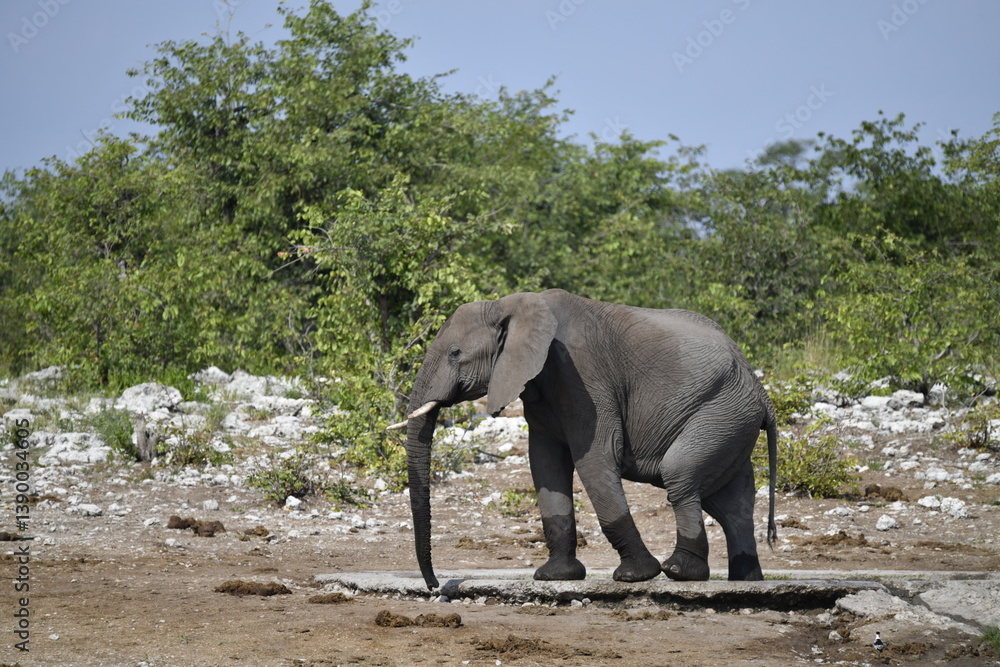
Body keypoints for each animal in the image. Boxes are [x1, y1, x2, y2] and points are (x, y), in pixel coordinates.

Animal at [390, 289, 777, 590]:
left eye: (455, 353)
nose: (435, 585)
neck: (511, 305)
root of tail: (762, 392)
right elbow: (544, 464)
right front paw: (554, 576)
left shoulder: (581, 374)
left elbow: (595, 457)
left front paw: (635, 575)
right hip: (730, 419)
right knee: (730, 503)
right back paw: (745, 580)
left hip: (721, 409)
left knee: (680, 476)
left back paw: (681, 571)